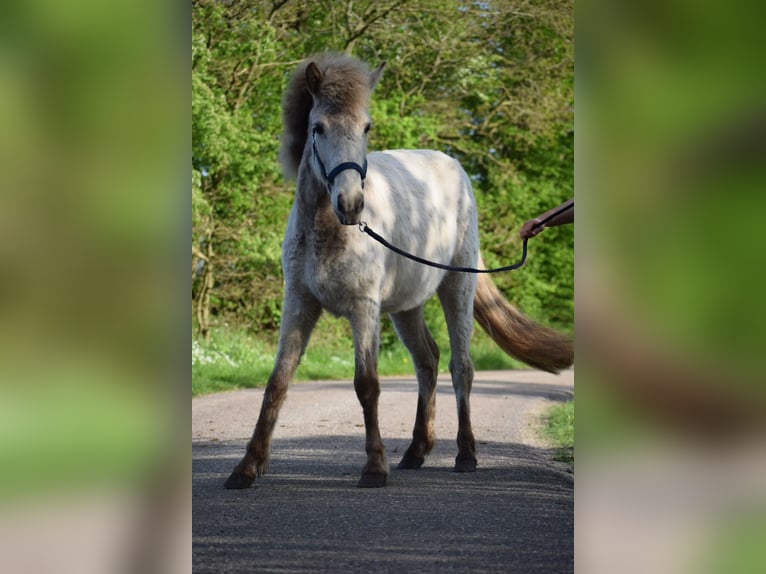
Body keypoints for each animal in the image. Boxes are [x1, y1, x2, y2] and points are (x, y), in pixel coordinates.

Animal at [225, 53, 572, 490]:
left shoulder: (363, 308)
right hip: (407, 307)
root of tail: (453, 166)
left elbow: (367, 384)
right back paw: (415, 451)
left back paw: (465, 454)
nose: (351, 203)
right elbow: (277, 382)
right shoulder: (299, 304)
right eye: (317, 128)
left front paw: (375, 467)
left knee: (461, 367)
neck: (328, 231)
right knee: (428, 361)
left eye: (366, 127)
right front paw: (247, 467)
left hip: (457, 288)